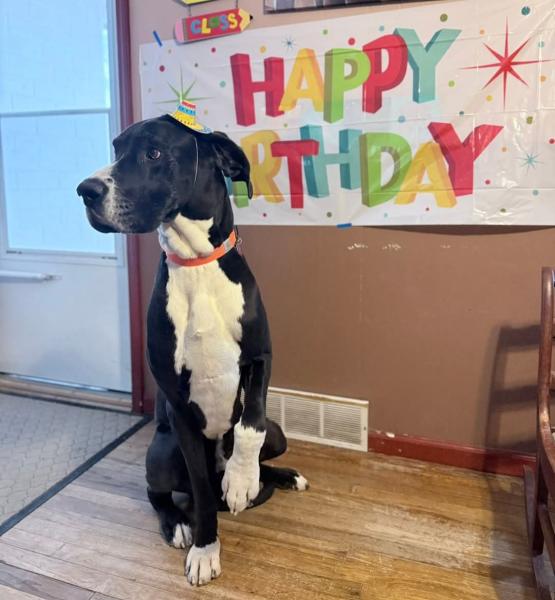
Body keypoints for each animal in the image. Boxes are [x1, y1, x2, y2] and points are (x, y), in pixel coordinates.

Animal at [77, 111, 307, 586]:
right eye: (116, 148)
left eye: (154, 152)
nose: (86, 190)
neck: (196, 263)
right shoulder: (179, 406)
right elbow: (201, 490)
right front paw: (205, 548)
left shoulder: (261, 357)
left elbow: (250, 425)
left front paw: (240, 480)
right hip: (162, 452)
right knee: (158, 491)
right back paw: (178, 524)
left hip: (280, 434)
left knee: (265, 447)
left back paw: (275, 476)